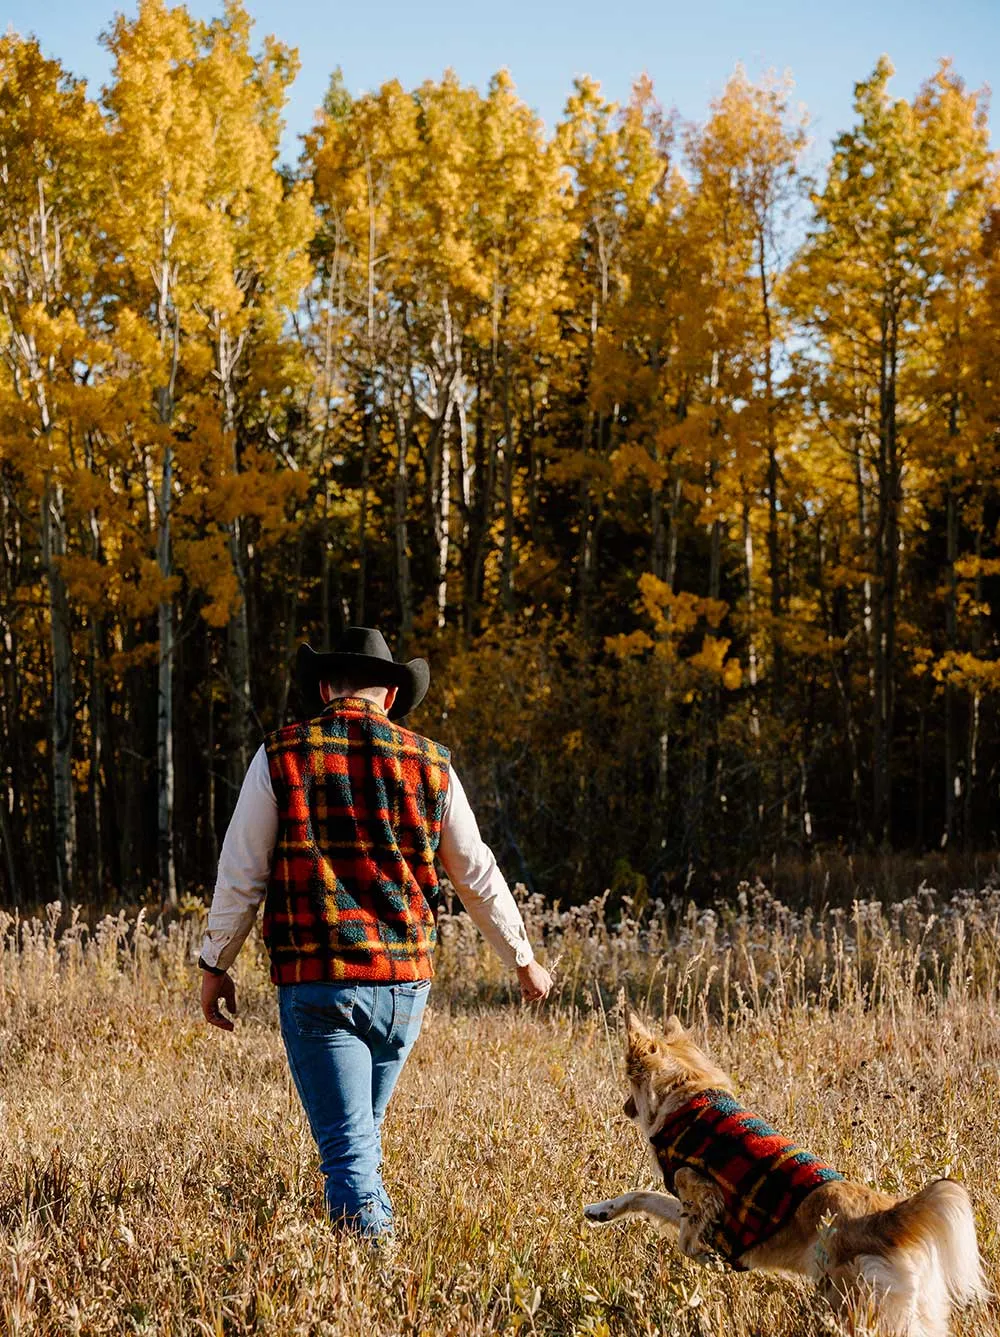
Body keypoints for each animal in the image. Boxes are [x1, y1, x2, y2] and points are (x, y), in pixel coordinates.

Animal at [585, 1010, 983, 1337]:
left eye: (629, 1086)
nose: (623, 1108)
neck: (689, 1095)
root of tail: (885, 1218)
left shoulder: (702, 1188)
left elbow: (686, 1238)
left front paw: (707, 1258)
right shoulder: (685, 1200)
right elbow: (641, 1195)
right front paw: (601, 1210)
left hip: (860, 1308)